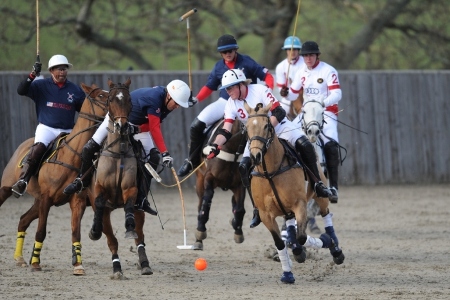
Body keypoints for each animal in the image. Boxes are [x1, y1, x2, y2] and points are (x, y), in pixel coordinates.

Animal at [0, 82, 109, 274]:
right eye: (101, 96)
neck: (73, 156)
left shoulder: (77, 201)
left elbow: (75, 231)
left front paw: (78, 264)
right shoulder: (46, 198)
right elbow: (41, 231)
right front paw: (36, 263)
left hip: (37, 200)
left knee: (23, 220)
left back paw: (19, 258)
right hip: (7, 188)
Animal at [85, 78, 154, 278]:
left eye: (130, 100)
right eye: (110, 100)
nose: (122, 126)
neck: (118, 153)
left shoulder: (131, 189)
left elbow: (130, 206)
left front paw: (129, 227)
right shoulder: (99, 191)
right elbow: (100, 204)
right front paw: (94, 230)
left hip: (140, 209)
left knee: (140, 236)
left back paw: (144, 263)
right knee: (111, 239)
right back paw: (116, 267)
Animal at [191, 119, 246, 251]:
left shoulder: (239, 184)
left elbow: (240, 209)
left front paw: (238, 231)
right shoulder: (208, 178)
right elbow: (205, 204)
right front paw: (200, 231)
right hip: (199, 181)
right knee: (200, 204)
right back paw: (198, 241)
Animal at [243, 102, 344, 284]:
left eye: (267, 126)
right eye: (246, 127)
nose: (255, 156)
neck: (270, 173)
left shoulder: (300, 205)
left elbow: (302, 236)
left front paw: (321, 242)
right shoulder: (265, 215)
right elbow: (280, 242)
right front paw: (287, 273)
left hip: (320, 196)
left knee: (325, 214)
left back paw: (334, 246)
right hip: (286, 209)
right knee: (290, 226)